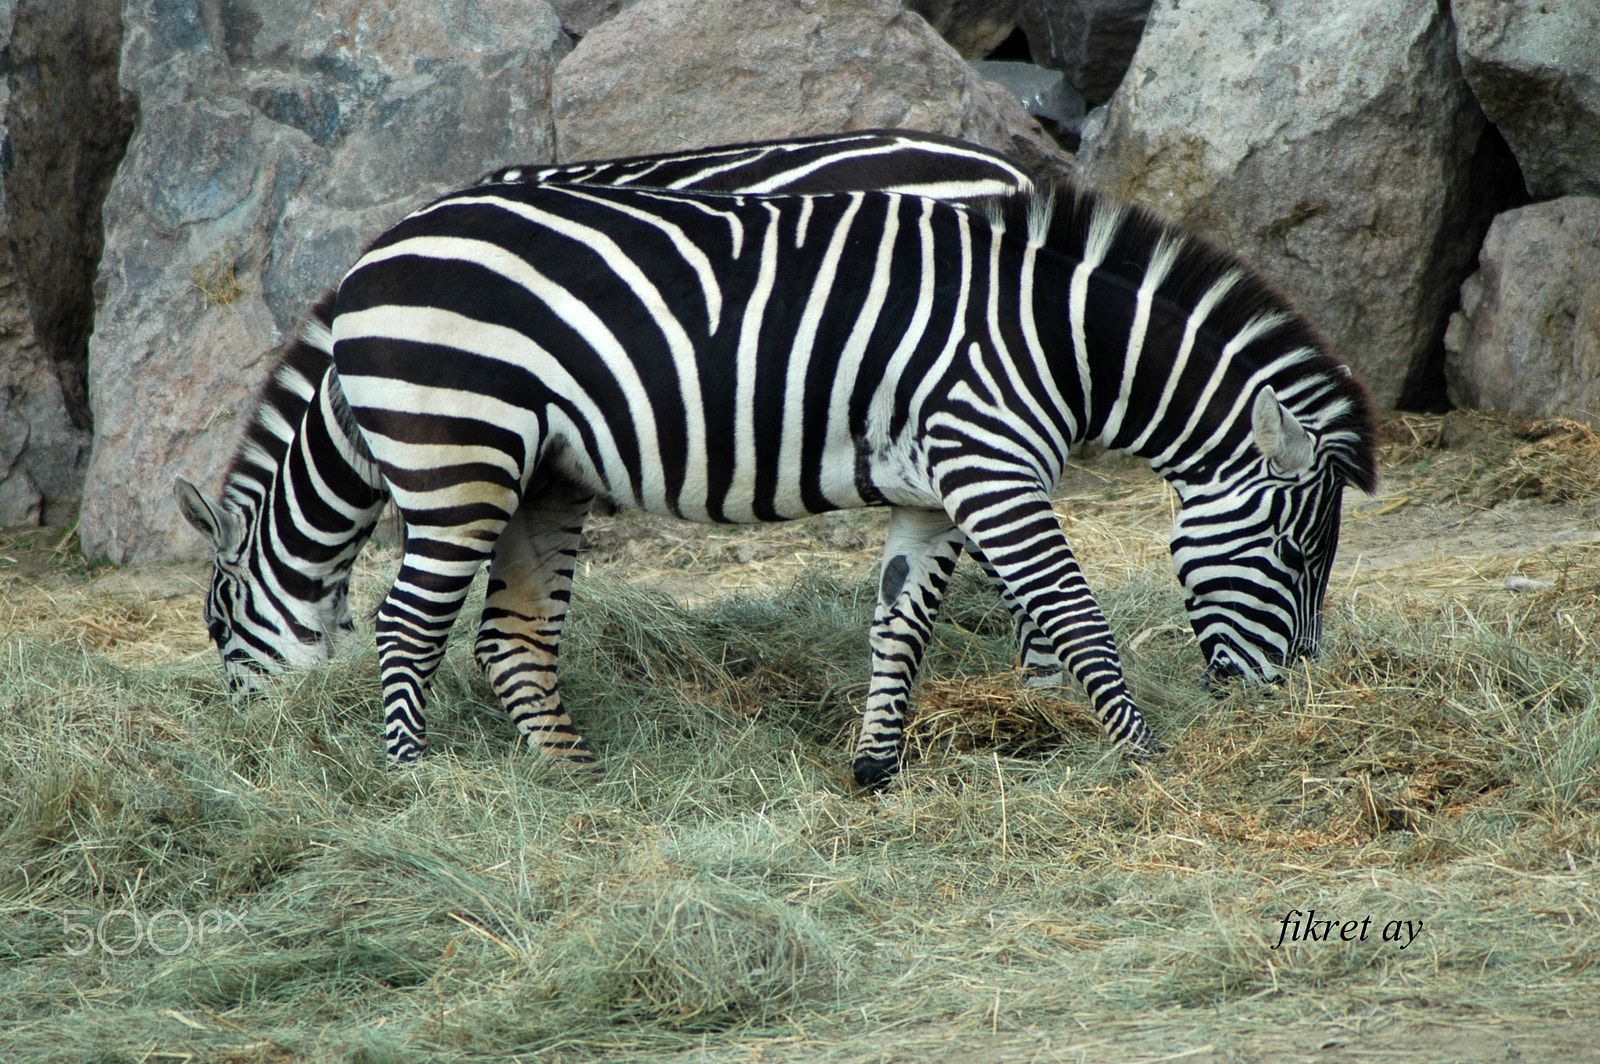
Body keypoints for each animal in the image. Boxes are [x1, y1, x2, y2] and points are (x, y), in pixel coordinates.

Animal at [177, 166, 1375, 786]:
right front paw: (1148, 759)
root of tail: (373, 256)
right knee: (405, 623)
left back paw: (575, 785)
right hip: (459, 455)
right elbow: (1078, 619)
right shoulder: (990, 462)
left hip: (533, 471)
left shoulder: (929, 492)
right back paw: (413, 783)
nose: (1284, 700)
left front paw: (875, 769)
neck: (1060, 341)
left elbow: (898, 624)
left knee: (506, 637)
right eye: (1292, 552)